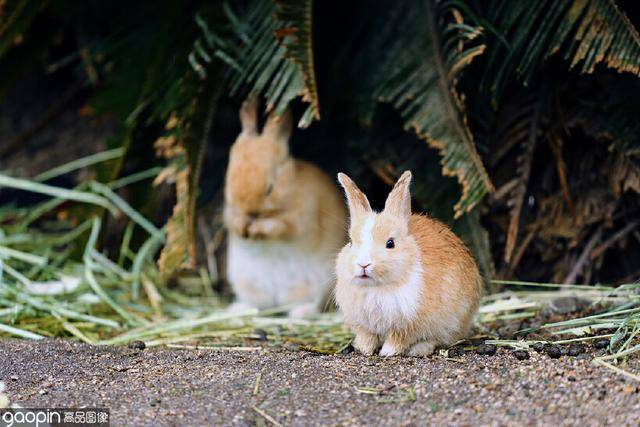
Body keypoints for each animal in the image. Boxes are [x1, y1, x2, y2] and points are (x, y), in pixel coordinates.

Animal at [224, 97, 344, 318]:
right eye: (230, 179)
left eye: (270, 188)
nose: (249, 210)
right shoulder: (228, 211)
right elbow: (231, 221)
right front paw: (242, 227)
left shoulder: (299, 220)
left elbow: (280, 226)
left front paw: (258, 228)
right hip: (248, 284)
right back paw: (238, 309)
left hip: (313, 285)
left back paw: (301, 312)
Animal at [336, 171, 480, 358]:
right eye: (351, 242)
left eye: (390, 243)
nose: (363, 264)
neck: (376, 288)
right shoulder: (364, 326)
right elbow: (367, 337)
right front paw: (364, 350)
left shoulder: (407, 326)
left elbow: (398, 339)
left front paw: (387, 352)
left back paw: (418, 350)